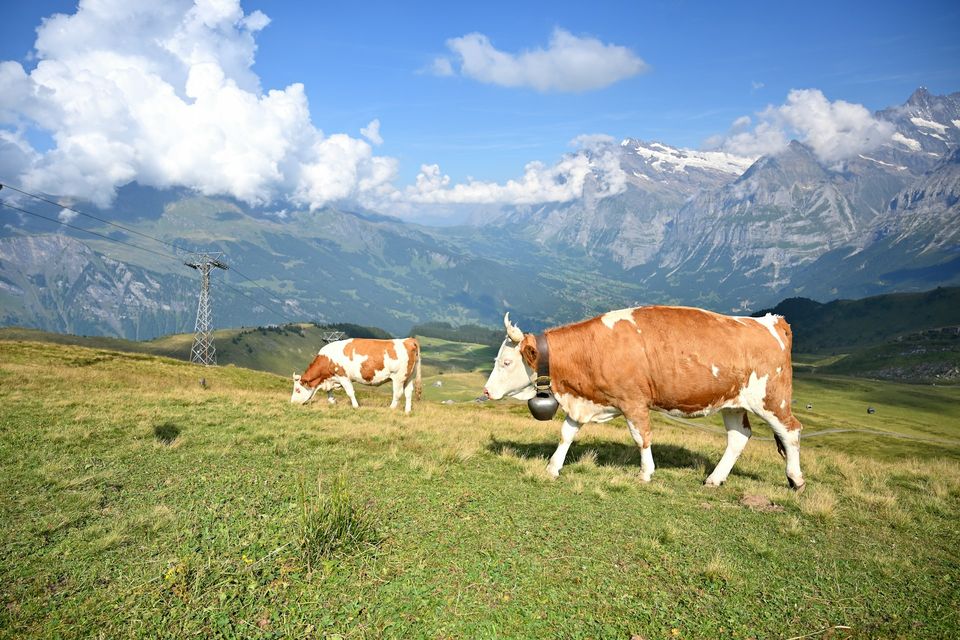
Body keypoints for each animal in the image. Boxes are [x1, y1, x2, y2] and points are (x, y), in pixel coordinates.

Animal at [291, 337, 422, 414]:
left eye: (297, 390)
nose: (292, 403)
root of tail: (408, 340)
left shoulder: (343, 376)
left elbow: (350, 392)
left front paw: (355, 406)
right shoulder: (332, 378)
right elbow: (329, 391)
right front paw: (332, 401)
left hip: (398, 377)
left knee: (398, 393)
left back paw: (391, 408)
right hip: (409, 377)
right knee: (408, 393)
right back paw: (407, 411)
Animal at [482, 307, 805, 490]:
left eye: (507, 362)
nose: (486, 391)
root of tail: (773, 322)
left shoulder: (634, 402)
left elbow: (642, 437)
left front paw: (646, 473)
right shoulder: (585, 401)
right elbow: (566, 434)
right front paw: (553, 467)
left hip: (772, 399)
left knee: (791, 431)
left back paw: (796, 479)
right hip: (733, 402)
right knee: (739, 437)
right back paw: (714, 479)